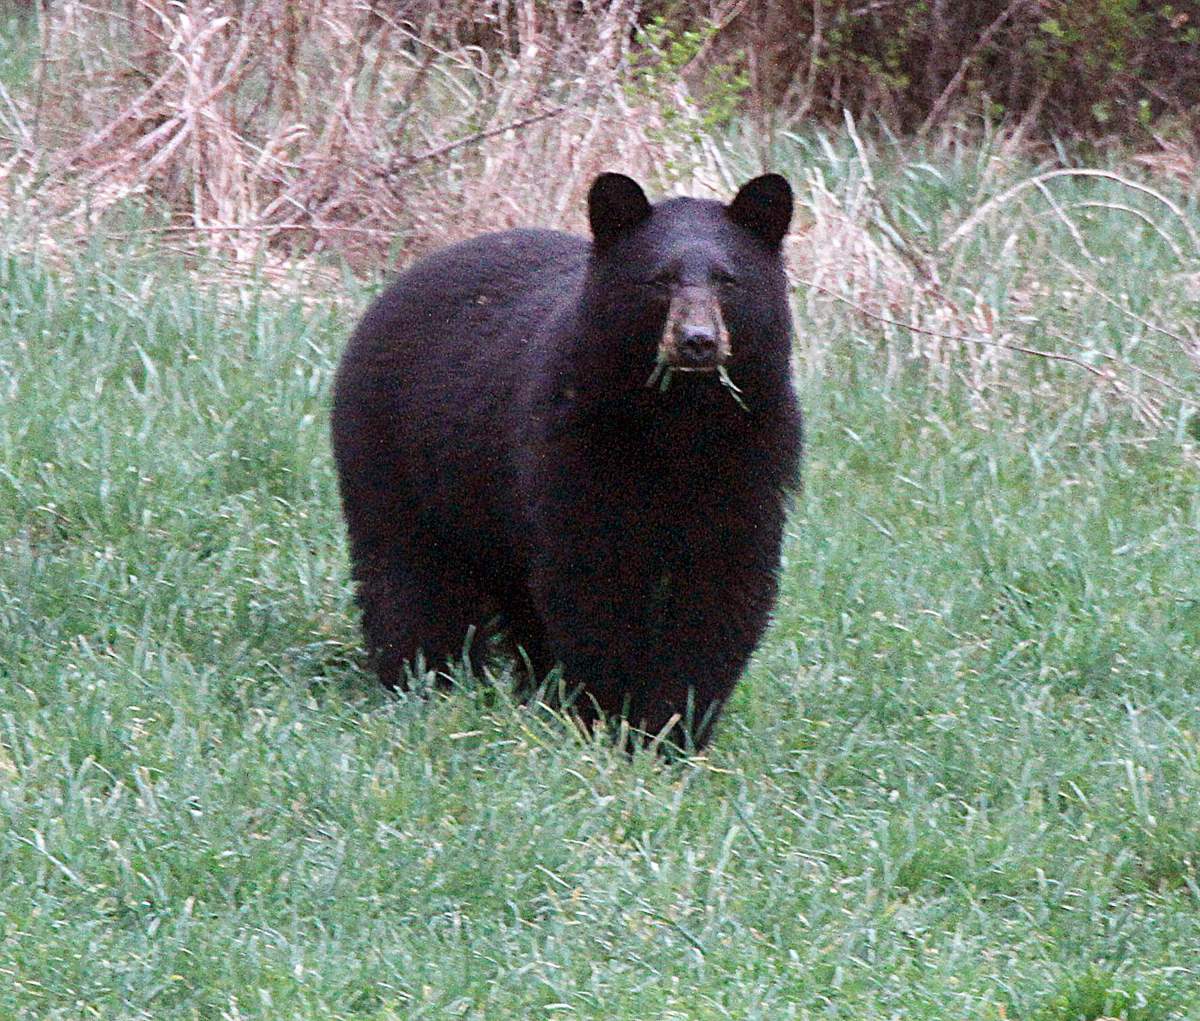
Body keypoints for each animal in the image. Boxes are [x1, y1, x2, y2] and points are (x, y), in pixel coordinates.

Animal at [330, 172, 802, 750]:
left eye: (728, 280)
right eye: (660, 280)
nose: (697, 342)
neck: (678, 424)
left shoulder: (752, 459)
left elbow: (721, 591)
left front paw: (674, 730)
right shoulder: (575, 448)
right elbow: (590, 583)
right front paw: (607, 717)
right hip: (394, 451)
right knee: (407, 573)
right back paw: (425, 679)